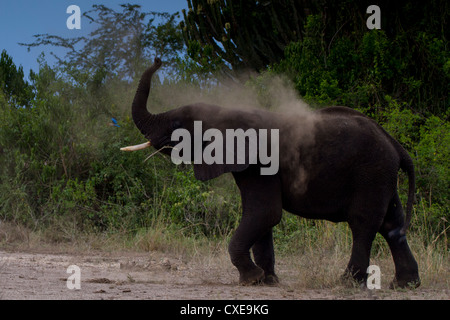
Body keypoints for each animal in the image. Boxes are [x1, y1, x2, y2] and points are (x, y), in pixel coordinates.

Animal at [125, 57, 420, 288]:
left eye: (177, 125)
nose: (158, 60)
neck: (229, 112)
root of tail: (395, 143)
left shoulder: (260, 163)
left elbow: (264, 212)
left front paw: (251, 279)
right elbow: (261, 217)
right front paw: (266, 280)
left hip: (371, 172)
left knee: (363, 222)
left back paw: (346, 283)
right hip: (382, 175)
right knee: (392, 224)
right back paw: (404, 285)